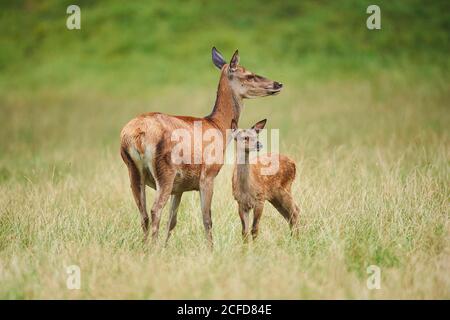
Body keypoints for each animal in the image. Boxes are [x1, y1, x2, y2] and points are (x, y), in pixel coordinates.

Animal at [119, 47, 282, 246]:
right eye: (249, 74)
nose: (278, 84)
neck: (218, 127)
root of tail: (135, 135)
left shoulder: (179, 187)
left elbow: (172, 221)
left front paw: (166, 247)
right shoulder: (208, 175)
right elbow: (207, 218)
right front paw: (211, 248)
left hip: (133, 171)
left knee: (144, 215)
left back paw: (145, 246)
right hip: (165, 172)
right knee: (155, 209)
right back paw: (152, 247)